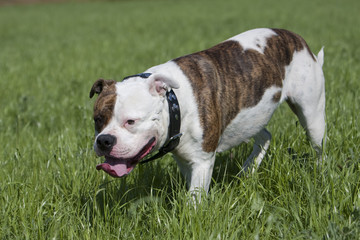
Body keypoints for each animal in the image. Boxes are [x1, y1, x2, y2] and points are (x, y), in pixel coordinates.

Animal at [90, 27, 326, 193]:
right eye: (97, 120)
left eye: (131, 121)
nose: (104, 141)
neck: (174, 101)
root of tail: (299, 40)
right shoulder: (185, 158)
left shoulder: (202, 160)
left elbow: (194, 199)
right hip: (249, 117)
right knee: (264, 135)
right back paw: (248, 170)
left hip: (312, 116)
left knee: (318, 147)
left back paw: (318, 174)